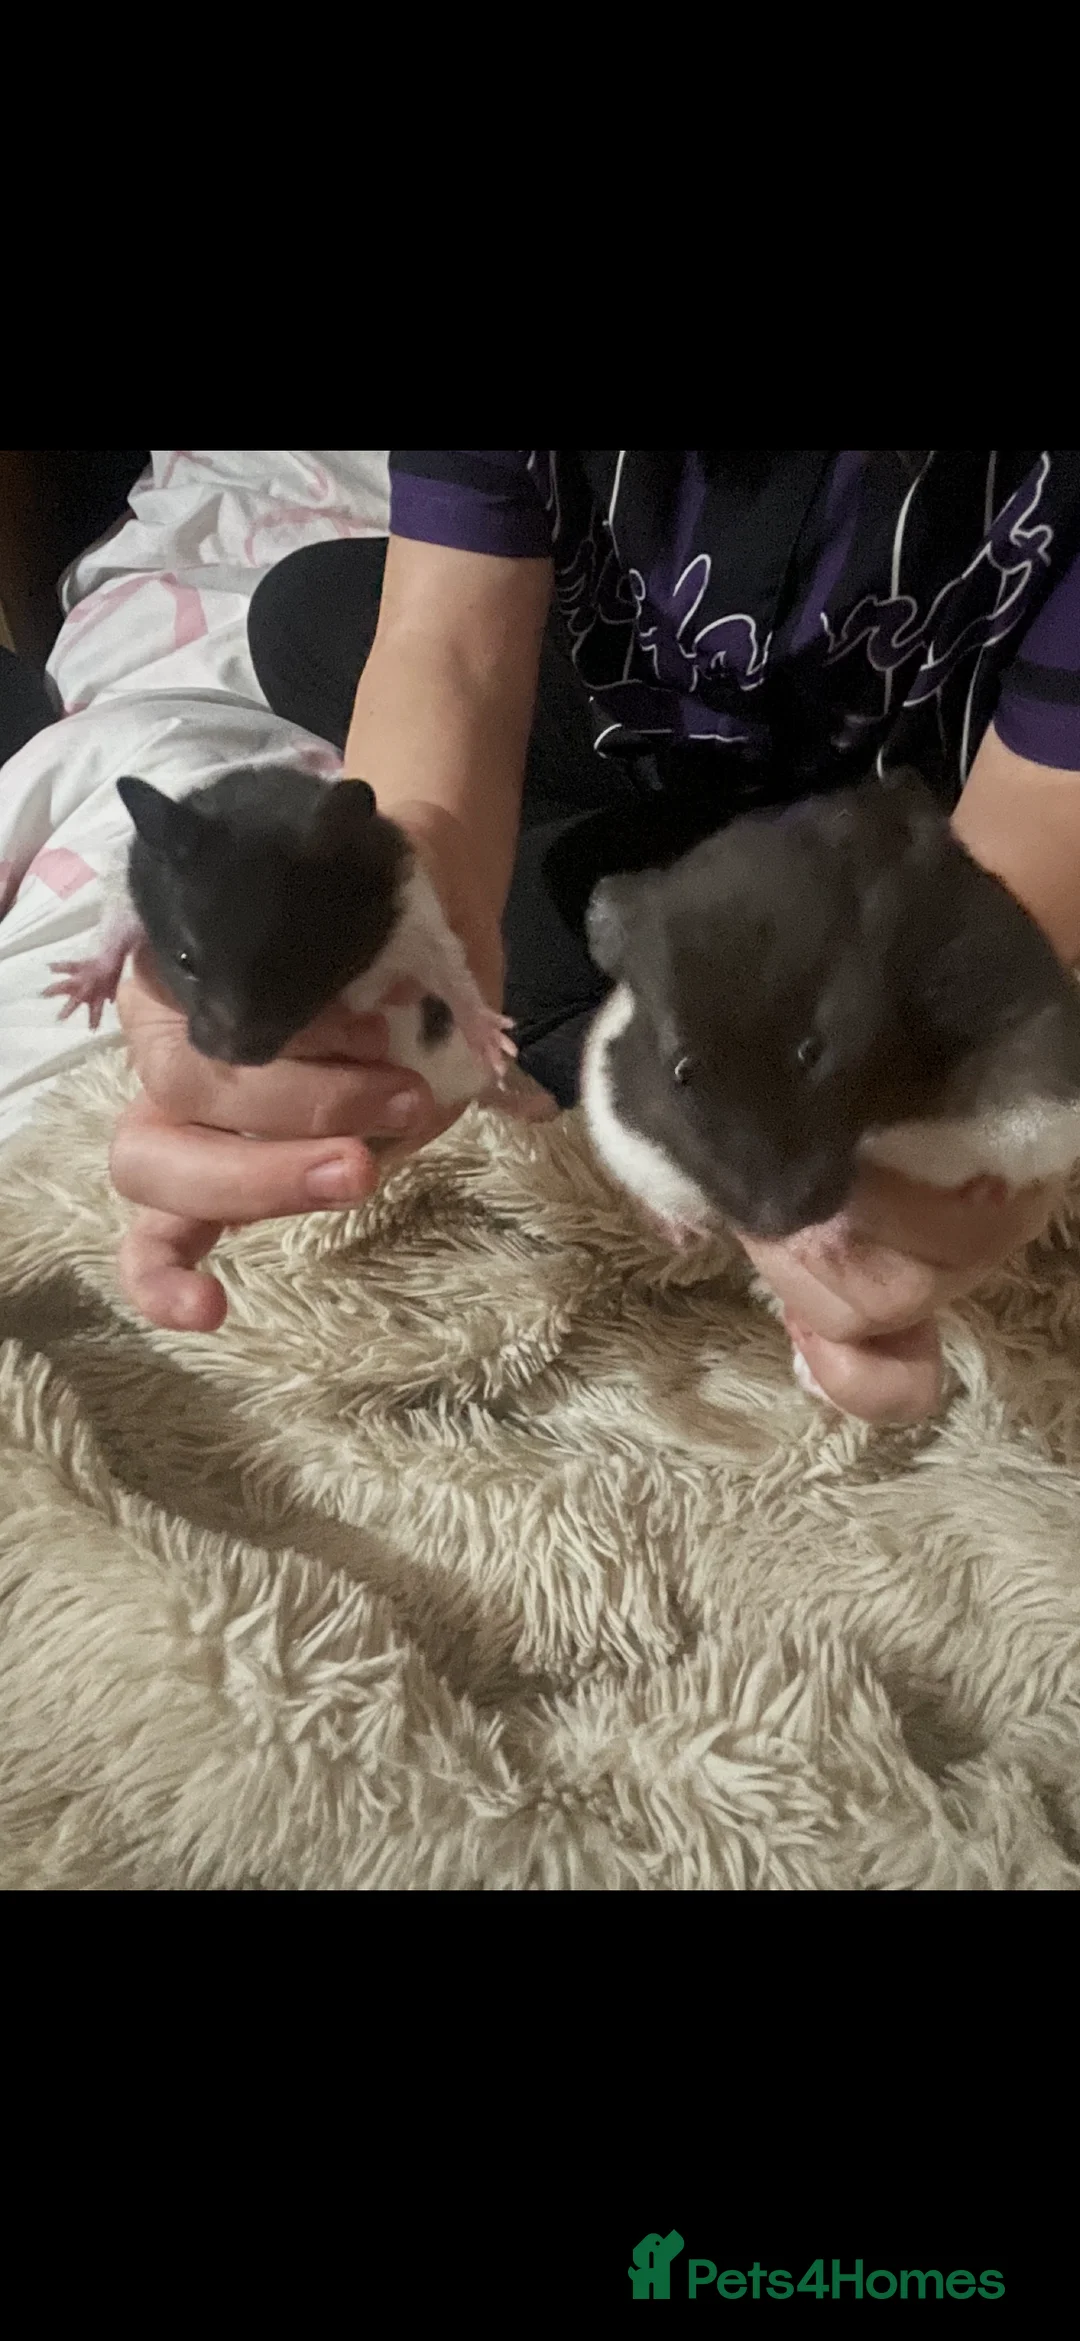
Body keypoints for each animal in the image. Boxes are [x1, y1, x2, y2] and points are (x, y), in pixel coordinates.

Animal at [46, 767, 516, 1105]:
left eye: (298, 963)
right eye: (184, 960)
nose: (229, 1059)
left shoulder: (414, 916)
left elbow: (451, 972)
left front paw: (497, 1046)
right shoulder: (133, 880)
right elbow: (115, 924)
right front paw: (72, 993)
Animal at [581, 768, 1080, 1392]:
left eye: (812, 1051)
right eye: (682, 1069)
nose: (777, 1224)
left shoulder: (1036, 1067)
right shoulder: (617, 1097)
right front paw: (691, 1235)